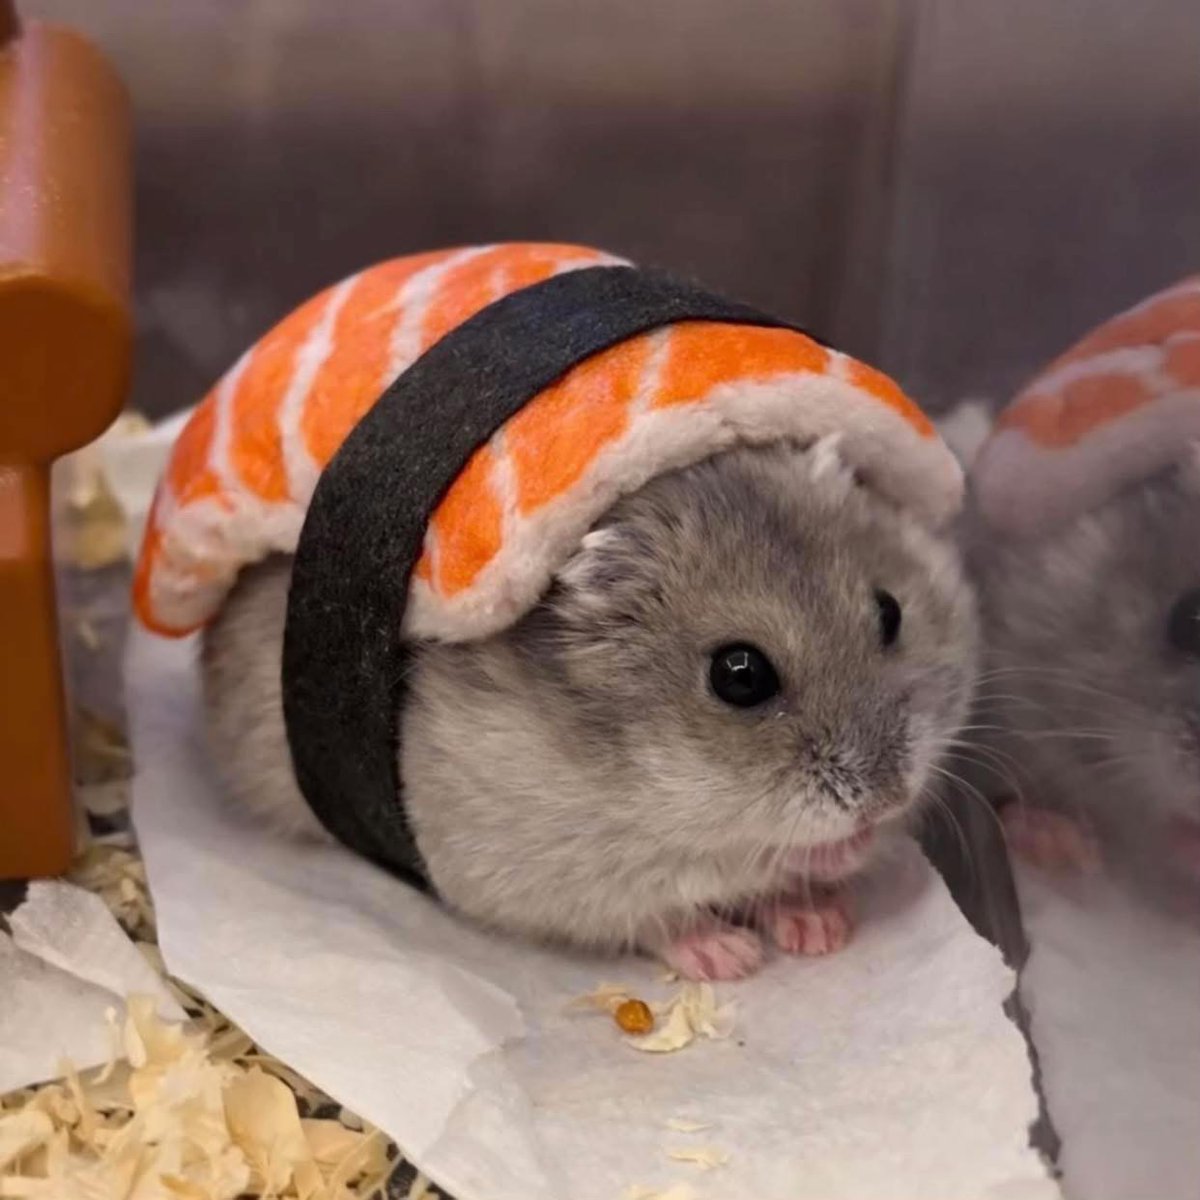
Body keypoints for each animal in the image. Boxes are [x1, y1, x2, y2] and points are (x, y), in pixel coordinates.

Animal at [203, 440, 979, 979]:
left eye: (891, 612)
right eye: (740, 675)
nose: (887, 798)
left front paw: (822, 929)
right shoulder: (559, 878)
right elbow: (661, 913)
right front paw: (733, 958)